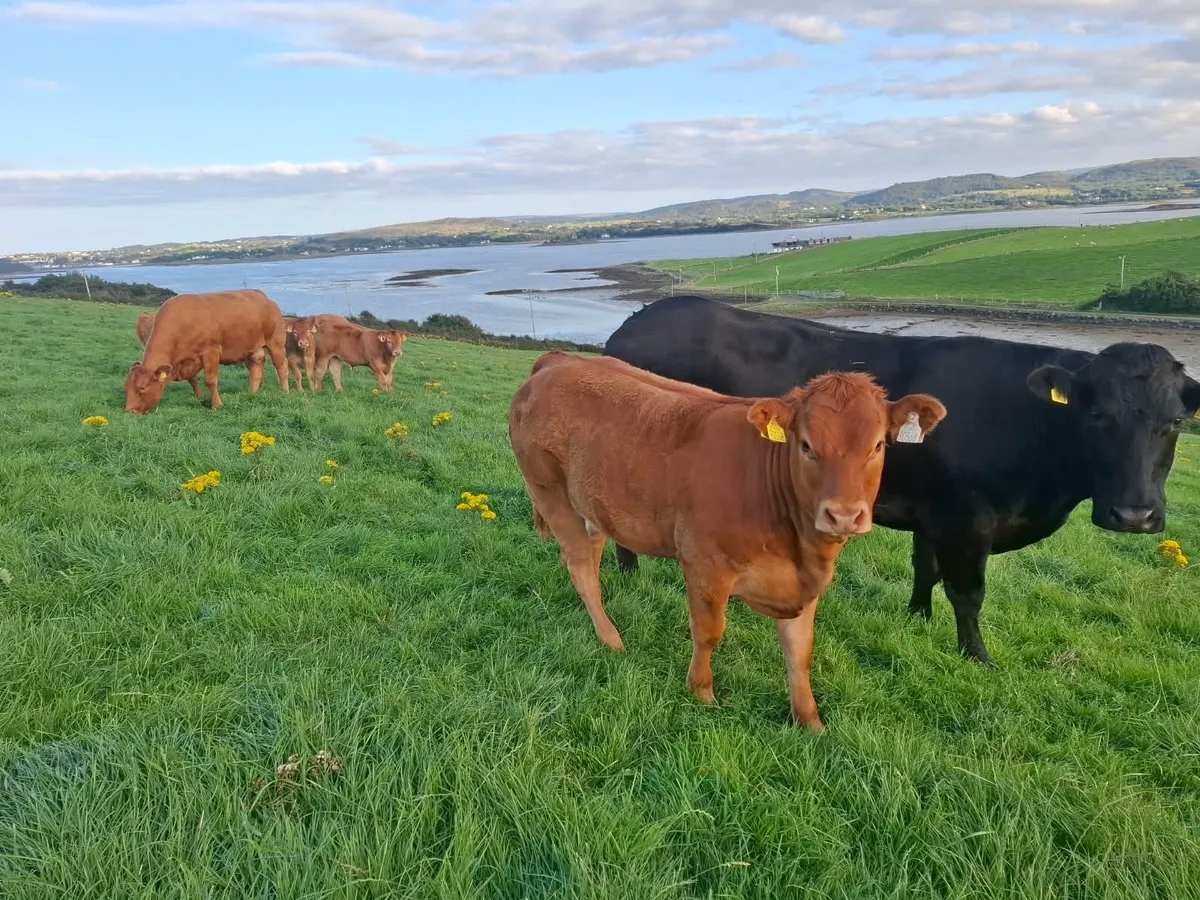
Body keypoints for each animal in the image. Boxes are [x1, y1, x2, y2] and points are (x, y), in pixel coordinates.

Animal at [124, 289, 289, 414]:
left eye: (142, 388)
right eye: (126, 388)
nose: (129, 411)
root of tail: (263, 297)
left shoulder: (211, 352)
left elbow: (210, 380)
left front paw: (216, 405)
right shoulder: (188, 360)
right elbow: (192, 379)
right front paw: (198, 396)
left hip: (276, 343)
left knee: (281, 367)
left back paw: (285, 391)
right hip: (251, 350)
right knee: (256, 369)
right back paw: (252, 393)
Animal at [508, 350, 946, 730]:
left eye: (878, 445)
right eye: (806, 445)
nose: (843, 515)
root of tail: (559, 361)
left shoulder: (803, 584)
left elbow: (800, 651)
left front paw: (810, 721)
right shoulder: (705, 565)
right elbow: (708, 632)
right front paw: (701, 693)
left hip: (592, 503)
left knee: (593, 551)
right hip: (549, 492)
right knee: (580, 564)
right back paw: (610, 638)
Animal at [604, 294, 1200, 667]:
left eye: (1176, 421)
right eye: (1097, 416)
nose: (1135, 516)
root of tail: (635, 324)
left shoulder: (933, 513)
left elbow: (925, 569)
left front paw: (918, 616)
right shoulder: (967, 520)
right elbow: (968, 592)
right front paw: (977, 656)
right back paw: (630, 576)